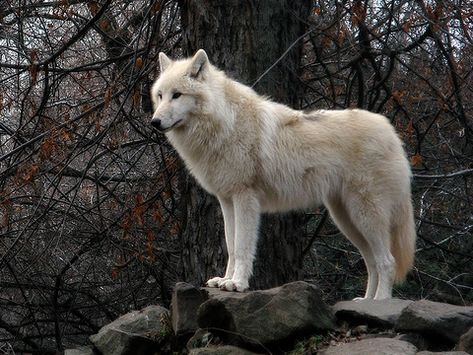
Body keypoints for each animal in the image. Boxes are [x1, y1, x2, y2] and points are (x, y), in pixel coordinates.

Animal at [150, 49, 412, 300]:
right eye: (160, 95)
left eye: (177, 95)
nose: (155, 122)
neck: (225, 122)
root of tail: (392, 134)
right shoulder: (227, 200)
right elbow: (231, 246)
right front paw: (225, 280)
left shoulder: (245, 198)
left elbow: (243, 247)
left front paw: (237, 283)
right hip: (347, 220)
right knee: (372, 263)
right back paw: (366, 302)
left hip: (365, 216)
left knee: (387, 262)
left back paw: (381, 302)